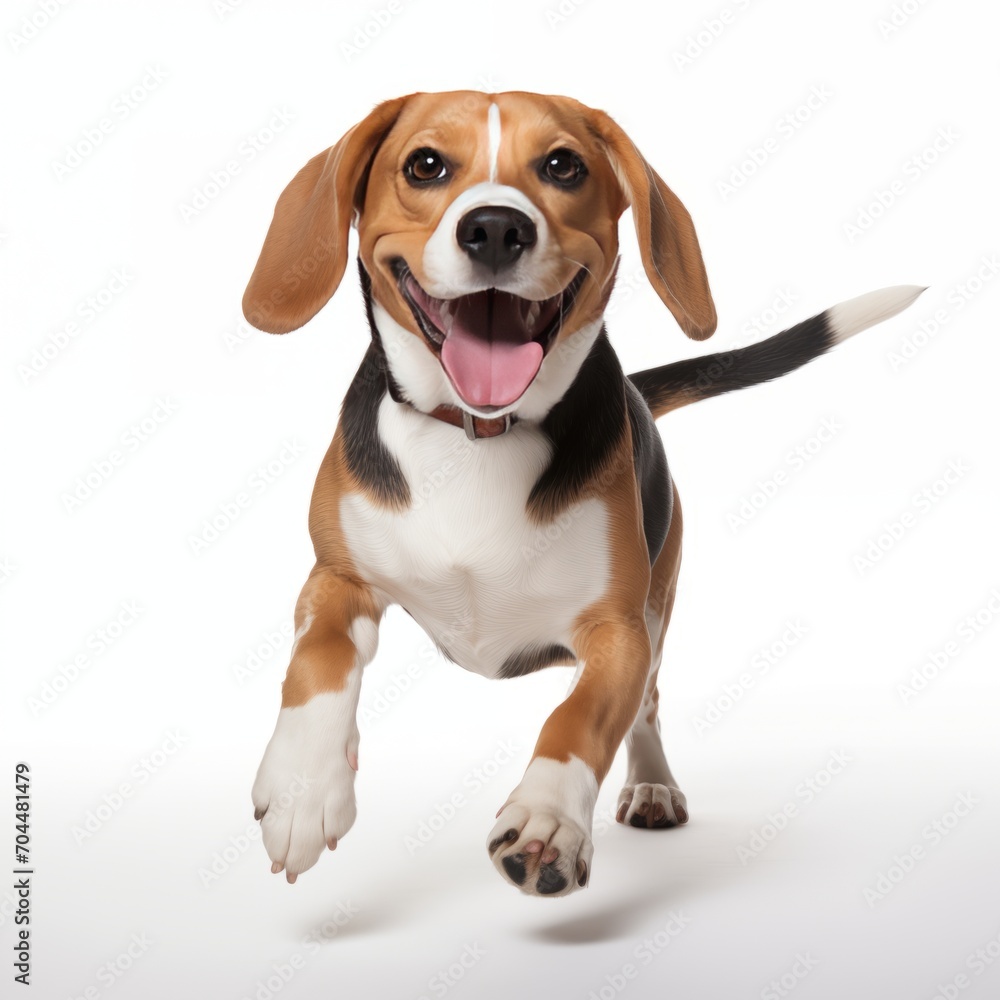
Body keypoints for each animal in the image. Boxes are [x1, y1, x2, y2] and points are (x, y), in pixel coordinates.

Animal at [244, 90, 920, 896]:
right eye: (425, 164)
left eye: (562, 166)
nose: (495, 228)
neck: (480, 435)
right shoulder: (335, 577)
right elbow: (318, 660)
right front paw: (303, 791)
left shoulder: (617, 631)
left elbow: (580, 718)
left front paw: (545, 820)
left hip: (658, 605)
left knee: (647, 707)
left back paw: (653, 785)